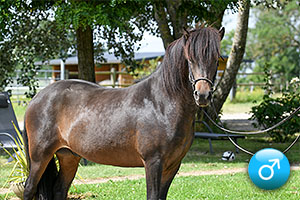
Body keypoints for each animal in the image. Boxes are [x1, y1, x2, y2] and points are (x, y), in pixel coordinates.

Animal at [23, 26, 224, 200]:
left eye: (216, 60)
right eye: (190, 59)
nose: (203, 95)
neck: (161, 103)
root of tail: (37, 98)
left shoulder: (173, 165)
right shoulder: (153, 162)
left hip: (68, 156)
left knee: (59, 190)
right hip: (39, 157)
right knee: (28, 189)